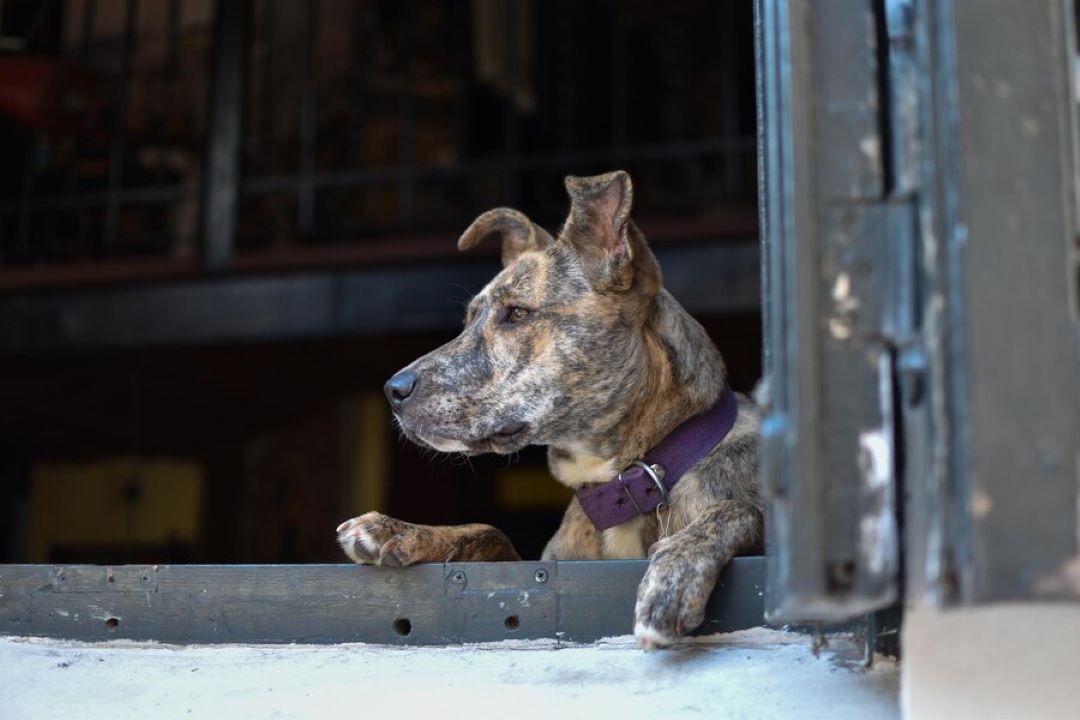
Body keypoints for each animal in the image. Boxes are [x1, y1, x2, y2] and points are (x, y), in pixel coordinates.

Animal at [332, 170, 764, 647]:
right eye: (468, 320)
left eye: (517, 314)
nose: (393, 390)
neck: (625, 484)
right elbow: (490, 531)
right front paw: (398, 530)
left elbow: (737, 510)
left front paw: (672, 578)